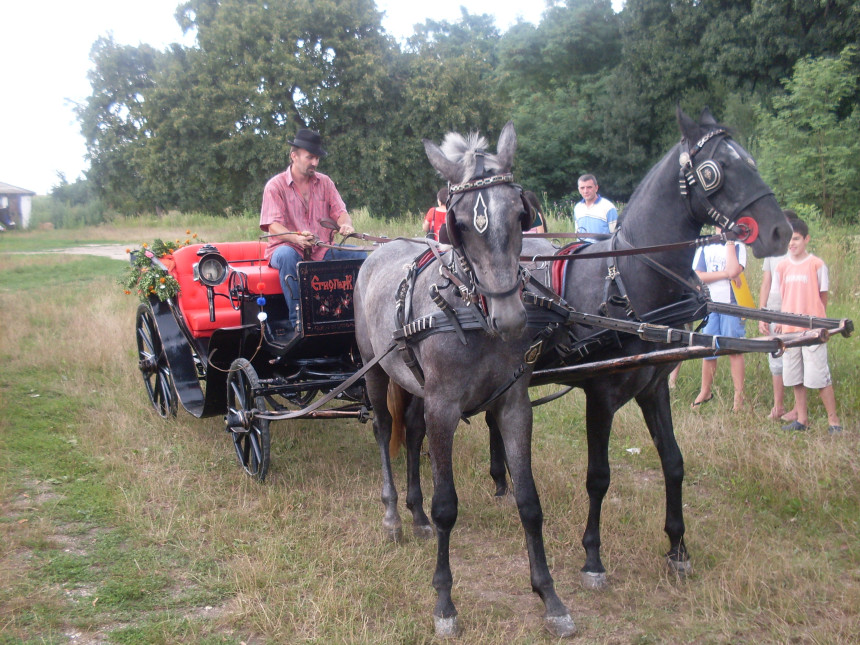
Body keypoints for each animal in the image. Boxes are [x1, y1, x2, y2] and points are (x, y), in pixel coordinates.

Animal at [352, 122, 576, 640]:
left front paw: (549, 597)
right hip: (375, 369)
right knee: (383, 432)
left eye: (519, 213)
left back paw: (413, 514)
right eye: (459, 222)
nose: (511, 318)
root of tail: (378, 250)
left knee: (412, 434)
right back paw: (393, 515)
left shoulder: (513, 405)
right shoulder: (445, 408)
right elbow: (447, 507)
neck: (471, 310)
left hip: (414, 386)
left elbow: (529, 500)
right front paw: (444, 603)